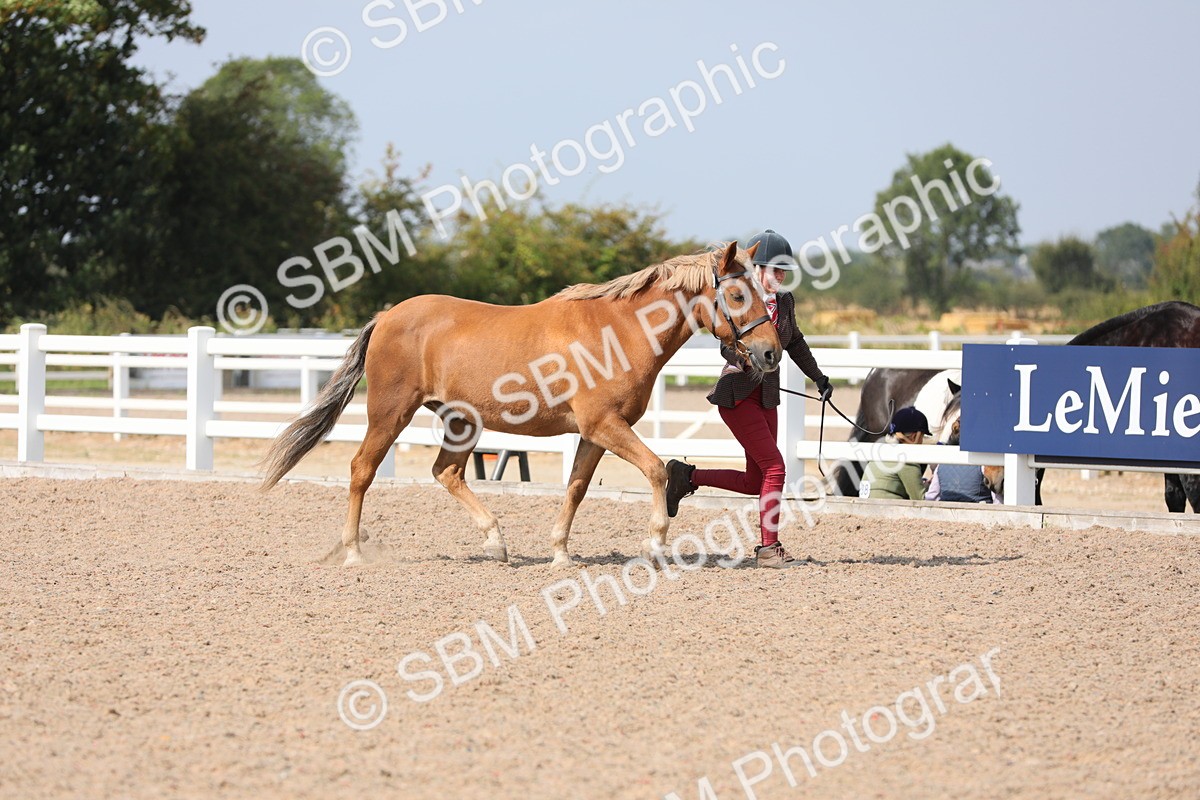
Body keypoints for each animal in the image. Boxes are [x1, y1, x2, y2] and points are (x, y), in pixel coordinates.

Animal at [260, 241, 784, 566]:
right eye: (737, 293)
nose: (770, 353)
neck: (617, 333)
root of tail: (387, 316)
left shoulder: (594, 434)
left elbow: (575, 489)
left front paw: (560, 554)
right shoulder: (606, 426)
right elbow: (655, 470)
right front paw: (655, 543)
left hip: (460, 422)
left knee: (446, 472)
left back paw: (496, 543)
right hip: (389, 415)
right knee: (362, 470)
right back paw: (352, 552)